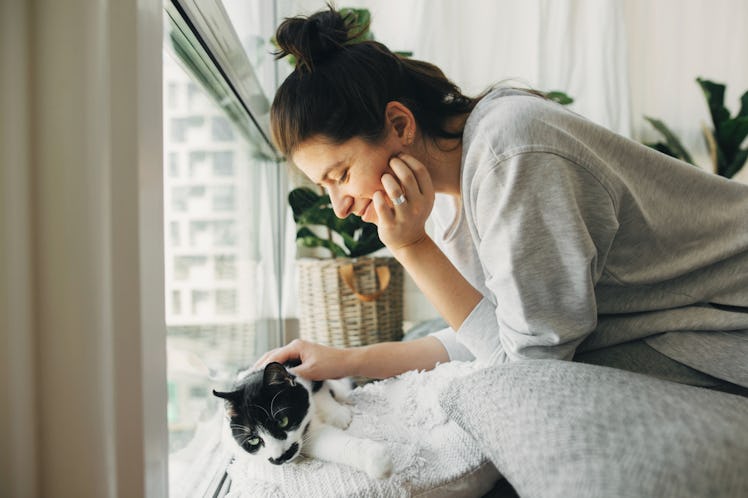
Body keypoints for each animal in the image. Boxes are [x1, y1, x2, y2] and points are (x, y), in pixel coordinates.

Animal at [213, 362, 394, 478]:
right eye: (253, 440)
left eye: (283, 421)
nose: (279, 458)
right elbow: (330, 443)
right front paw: (376, 459)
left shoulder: (311, 371)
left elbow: (320, 390)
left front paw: (337, 414)